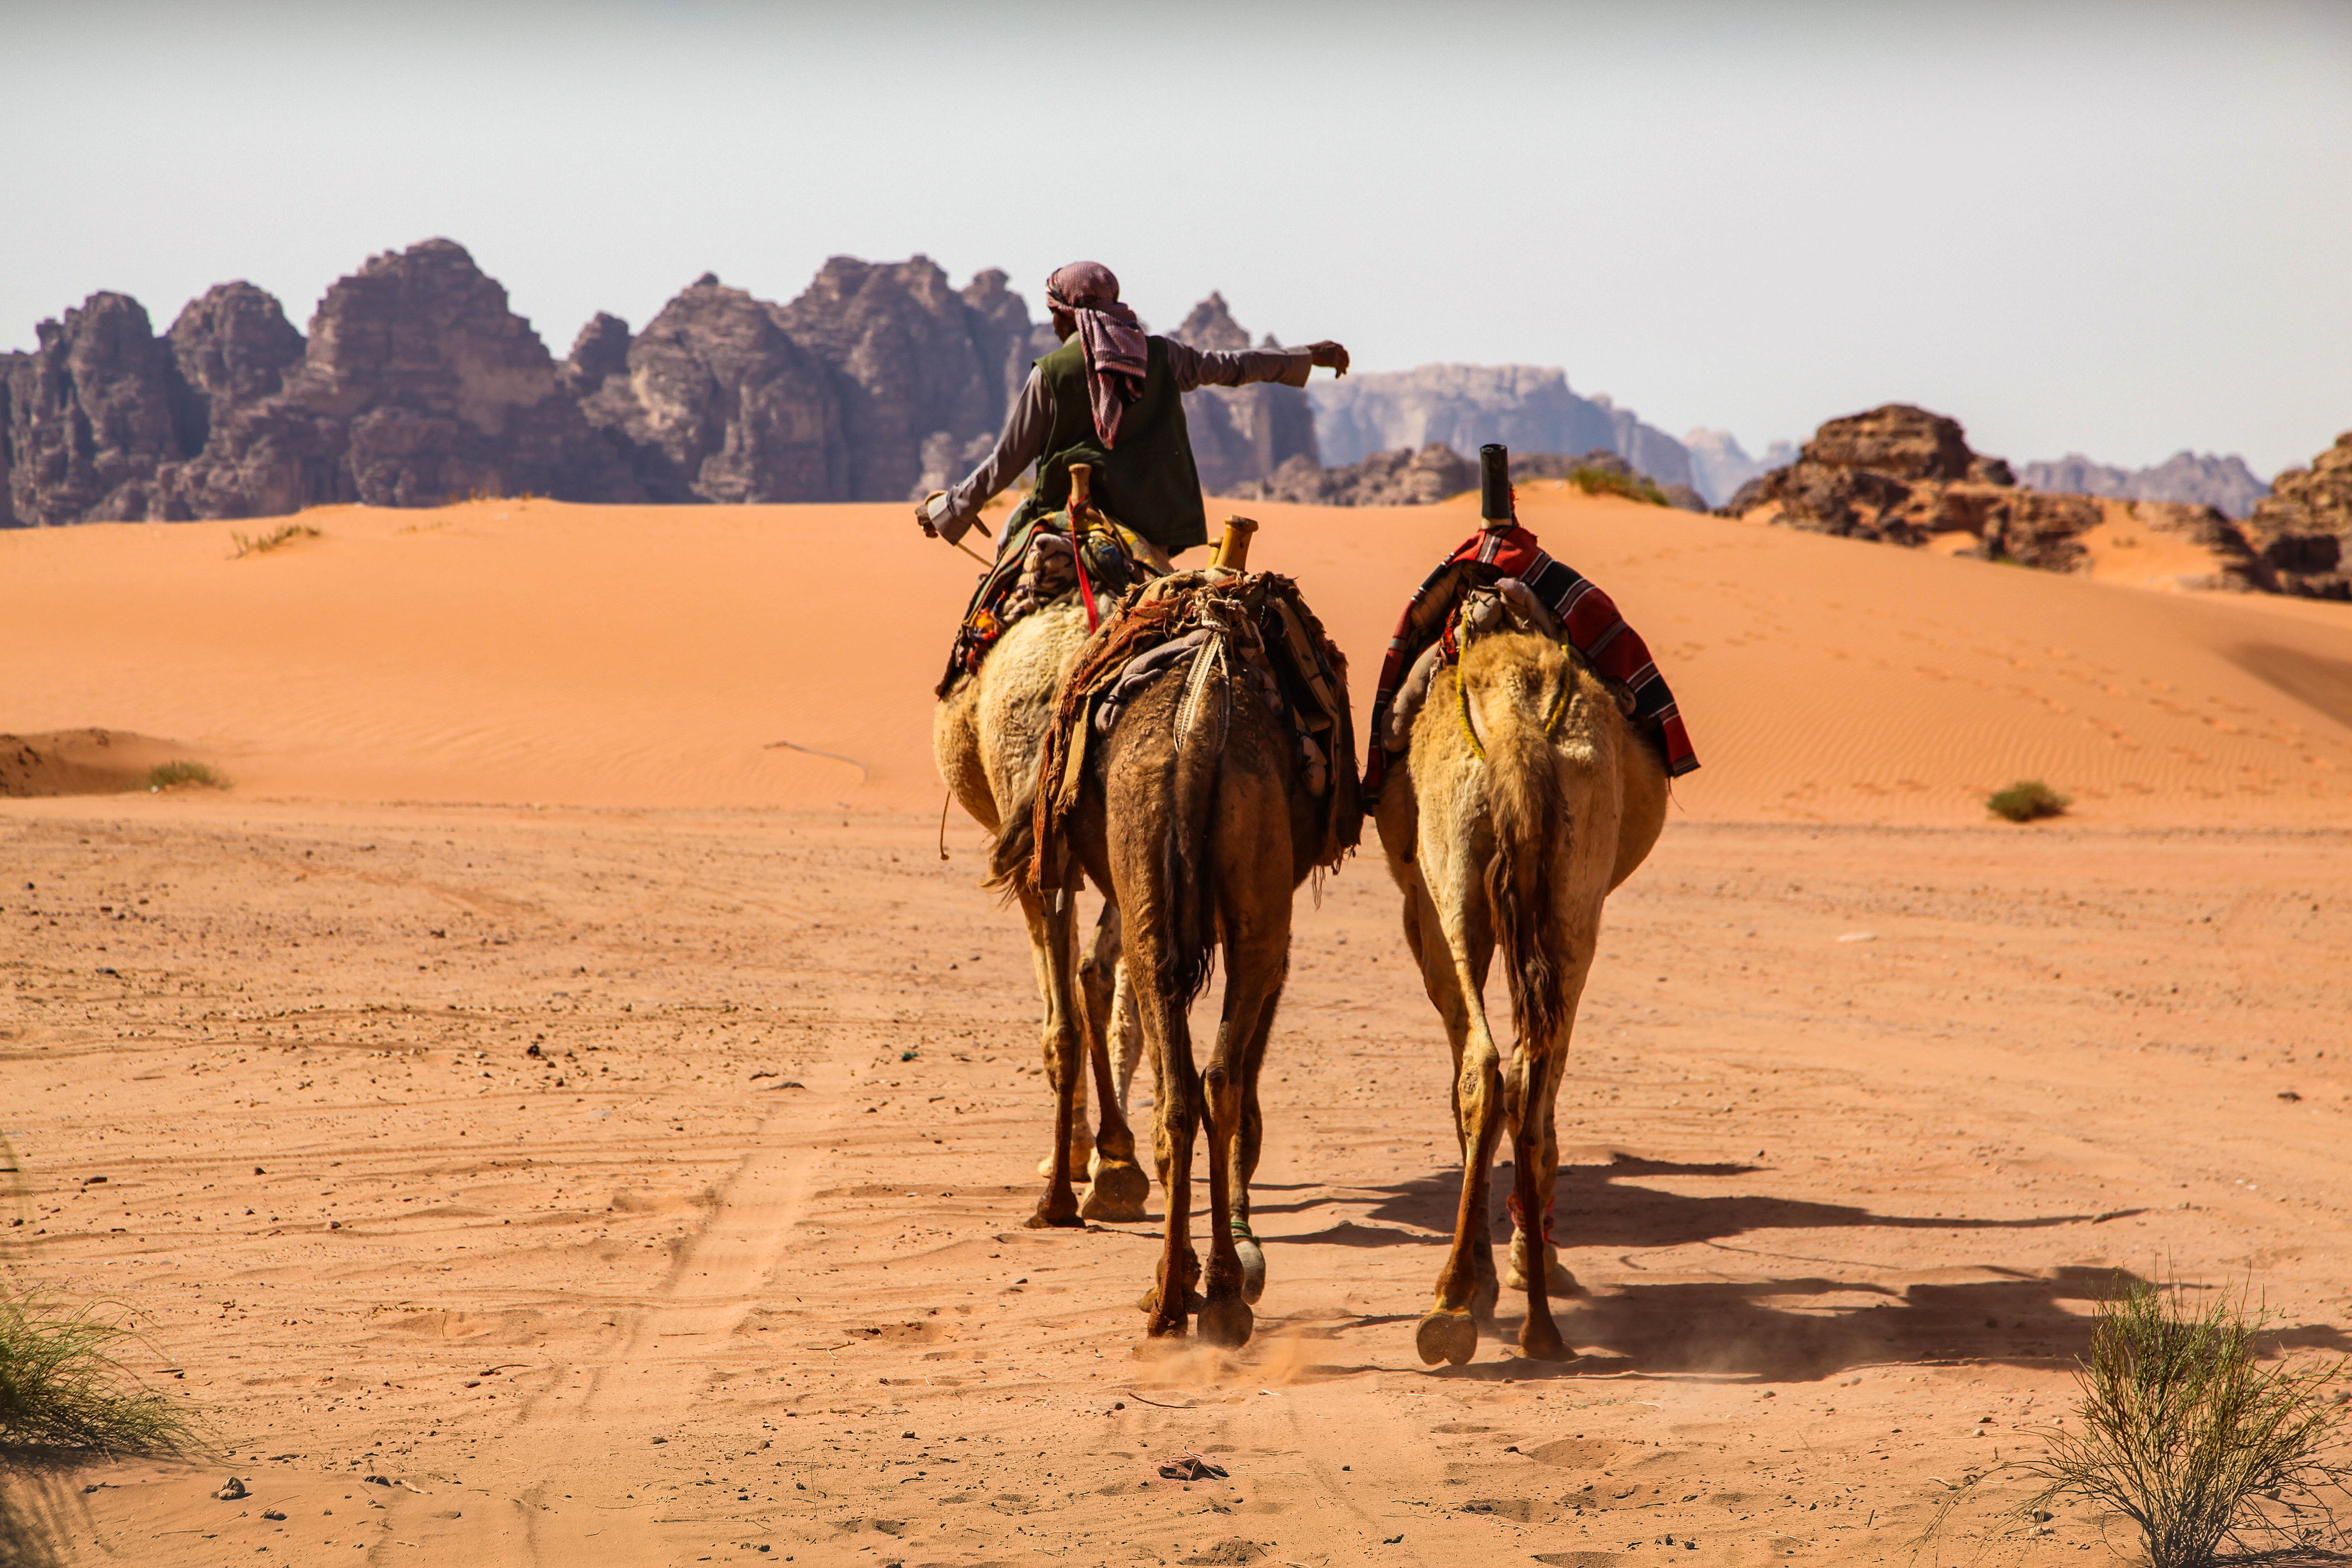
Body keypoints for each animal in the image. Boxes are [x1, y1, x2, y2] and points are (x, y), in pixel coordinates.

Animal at [1035, 536, 1364, 1354]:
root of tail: (1198, 727)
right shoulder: (1276, 939)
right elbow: (1239, 1085)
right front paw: (1241, 1261)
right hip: (1253, 915)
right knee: (1216, 1080)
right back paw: (1214, 1293)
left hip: (1156, 891)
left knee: (1185, 1089)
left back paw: (1177, 1295)